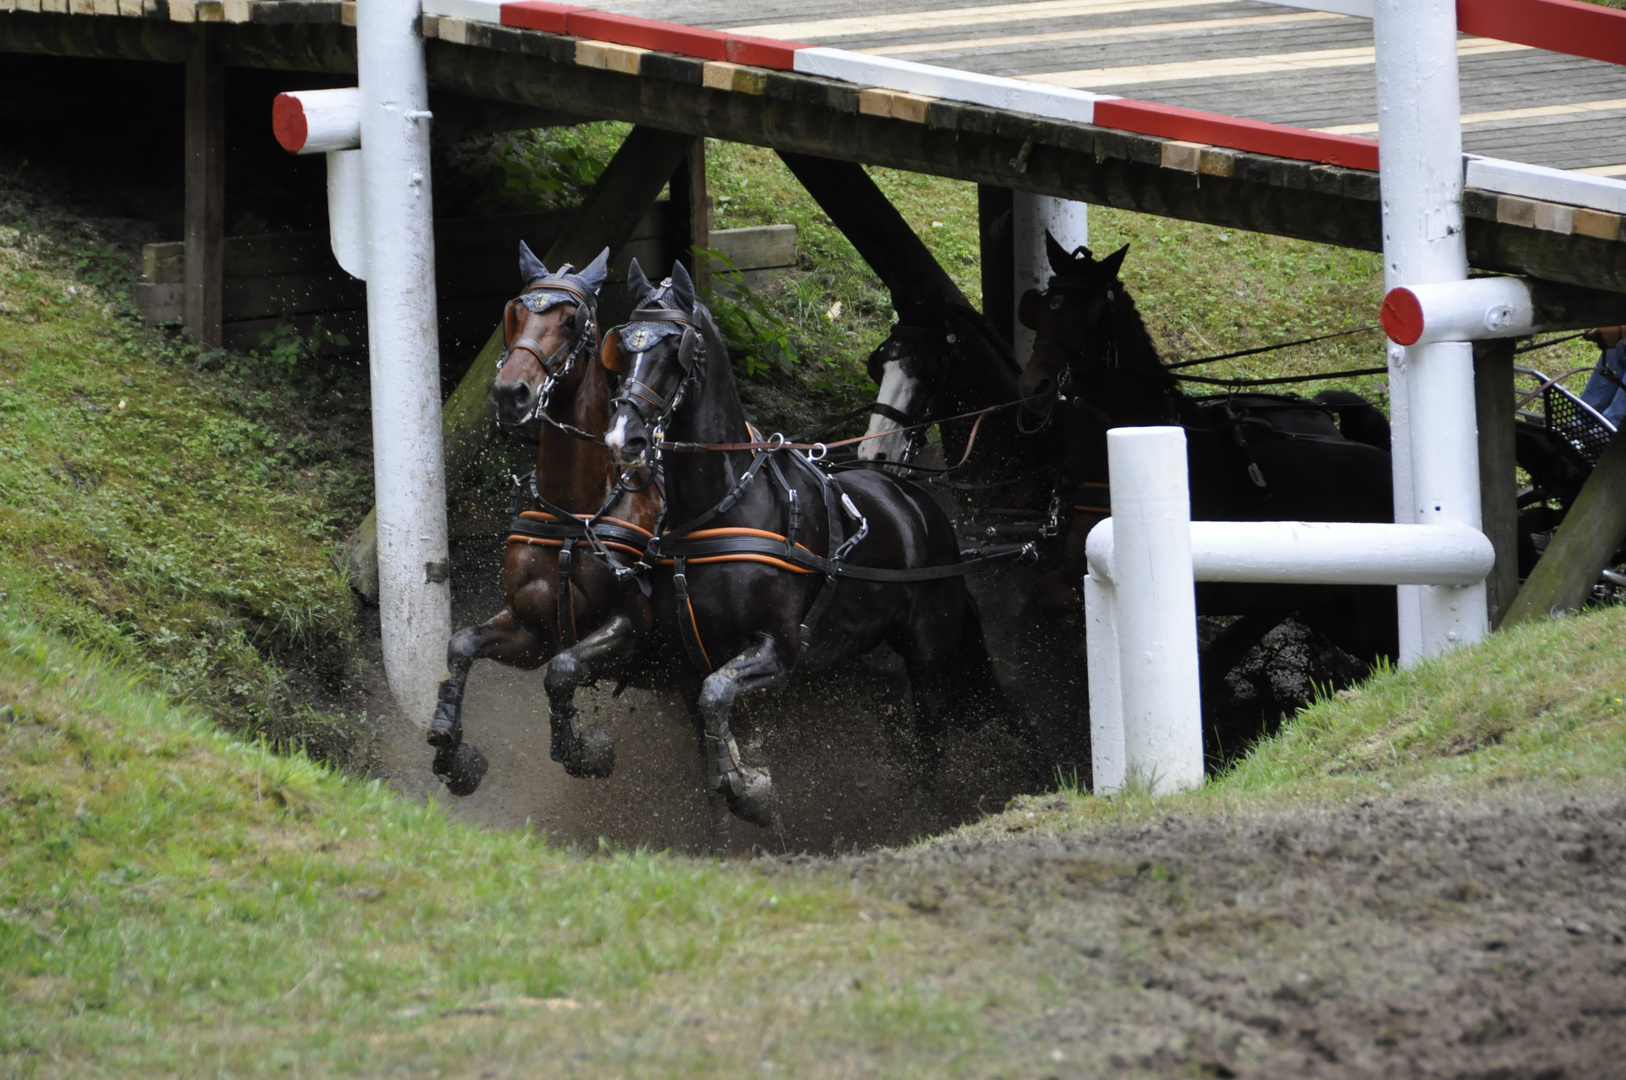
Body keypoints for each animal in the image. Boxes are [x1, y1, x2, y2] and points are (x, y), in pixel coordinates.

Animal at [432, 247, 666, 800]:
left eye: (571, 320)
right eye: (515, 314)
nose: (510, 393)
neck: (576, 513)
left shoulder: (634, 628)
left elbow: (562, 672)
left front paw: (583, 748)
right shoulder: (531, 629)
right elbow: (462, 645)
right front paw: (451, 746)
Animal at [604, 260, 1008, 826]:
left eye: (673, 349)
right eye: (621, 346)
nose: (623, 437)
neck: (720, 508)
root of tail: (921, 509)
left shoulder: (778, 650)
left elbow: (717, 696)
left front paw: (750, 788)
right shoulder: (686, 662)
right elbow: (708, 734)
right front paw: (730, 796)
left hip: (929, 654)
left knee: (931, 740)